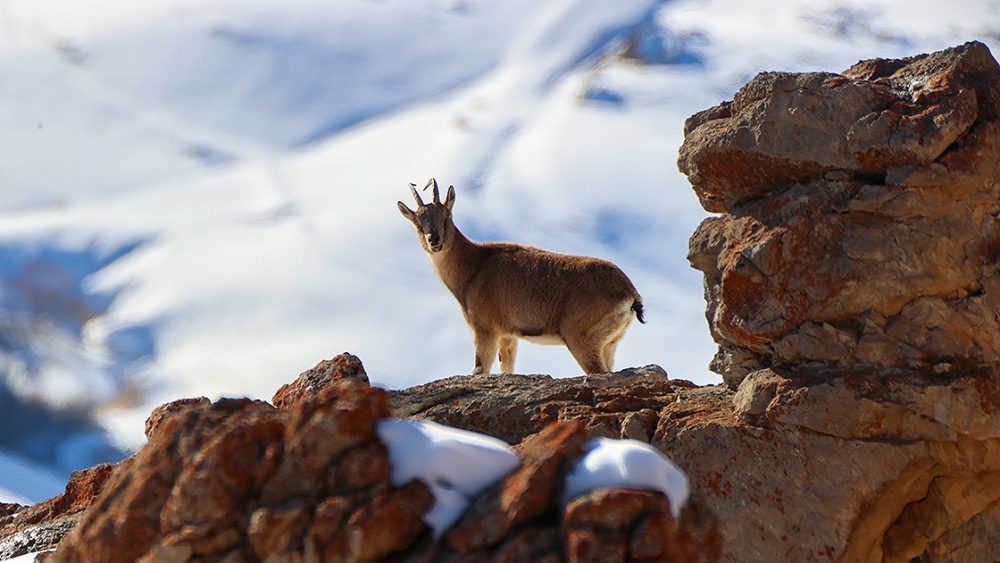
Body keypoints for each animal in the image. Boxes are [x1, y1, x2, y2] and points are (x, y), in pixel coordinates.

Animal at [400, 178, 648, 376]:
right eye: (418, 223)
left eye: (446, 216)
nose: (434, 240)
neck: (474, 266)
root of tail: (629, 292)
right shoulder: (508, 335)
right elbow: (506, 367)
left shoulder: (485, 329)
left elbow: (480, 369)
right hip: (609, 344)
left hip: (582, 338)